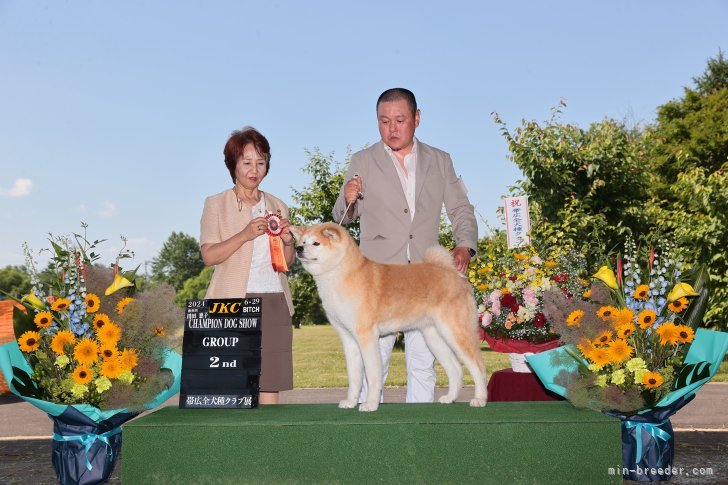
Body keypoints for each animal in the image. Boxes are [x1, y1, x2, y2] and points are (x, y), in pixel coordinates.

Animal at [288, 221, 486, 410]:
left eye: (316, 243)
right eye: (302, 242)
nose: (298, 249)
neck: (342, 274)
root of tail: (456, 275)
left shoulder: (367, 336)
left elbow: (372, 375)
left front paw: (370, 404)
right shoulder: (349, 339)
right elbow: (354, 377)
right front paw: (351, 402)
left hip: (456, 331)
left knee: (478, 366)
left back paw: (480, 399)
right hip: (434, 336)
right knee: (456, 369)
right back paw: (450, 398)